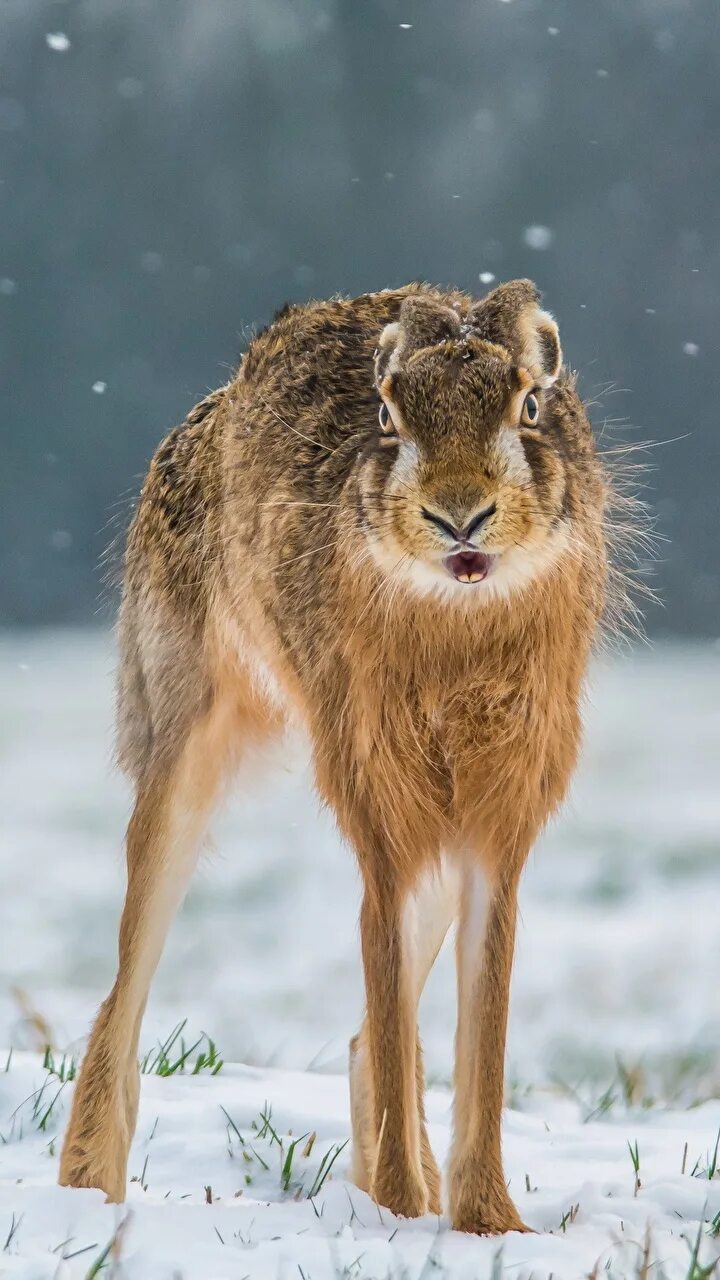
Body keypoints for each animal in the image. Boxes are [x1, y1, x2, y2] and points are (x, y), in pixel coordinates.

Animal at [59, 279, 610, 1234]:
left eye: (530, 408)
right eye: (389, 415)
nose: (458, 514)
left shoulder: (494, 823)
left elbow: (483, 1015)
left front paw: (486, 1225)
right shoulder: (376, 801)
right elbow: (387, 986)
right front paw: (401, 1213)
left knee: (366, 1035)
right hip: (182, 734)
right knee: (126, 984)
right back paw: (89, 1192)